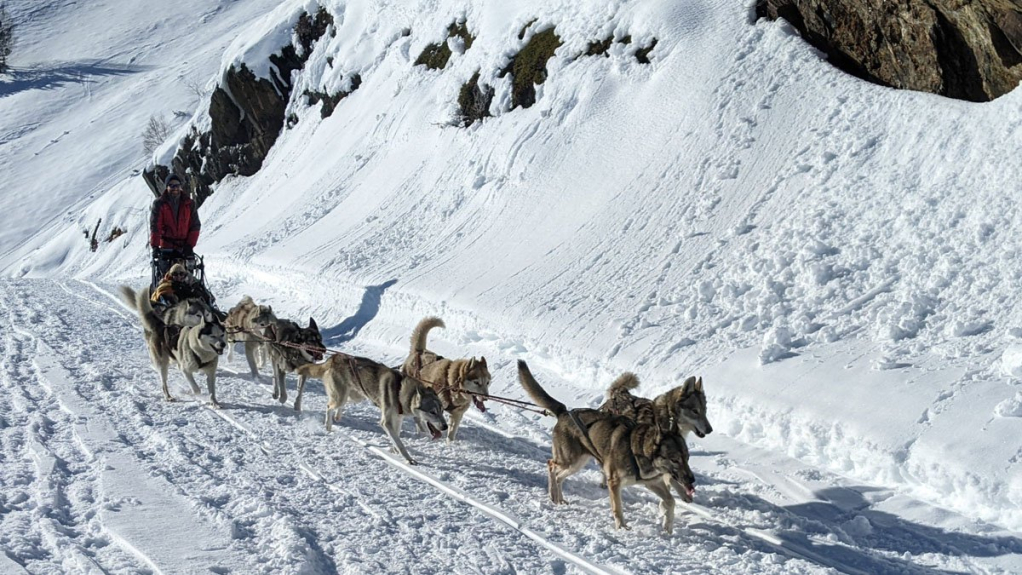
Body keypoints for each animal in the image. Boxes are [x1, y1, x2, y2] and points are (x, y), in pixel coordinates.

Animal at [296, 354, 449, 465]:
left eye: (442, 410)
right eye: (432, 412)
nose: (446, 426)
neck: (400, 390)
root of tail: (334, 357)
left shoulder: (397, 419)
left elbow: (396, 437)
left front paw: (394, 449)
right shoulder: (386, 422)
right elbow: (400, 444)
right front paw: (408, 458)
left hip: (354, 396)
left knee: (340, 405)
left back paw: (338, 416)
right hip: (341, 396)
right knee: (329, 406)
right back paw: (328, 425)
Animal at [518, 360, 695, 533]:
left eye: (687, 458)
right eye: (674, 459)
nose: (692, 479)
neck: (638, 451)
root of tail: (564, 413)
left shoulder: (652, 483)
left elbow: (671, 501)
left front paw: (668, 525)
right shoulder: (614, 483)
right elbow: (618, 508)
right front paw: (621, 528)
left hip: (577, 464)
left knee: (559, 476)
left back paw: (559, 499)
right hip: (570, 460)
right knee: (551, 466)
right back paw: (553, 494)